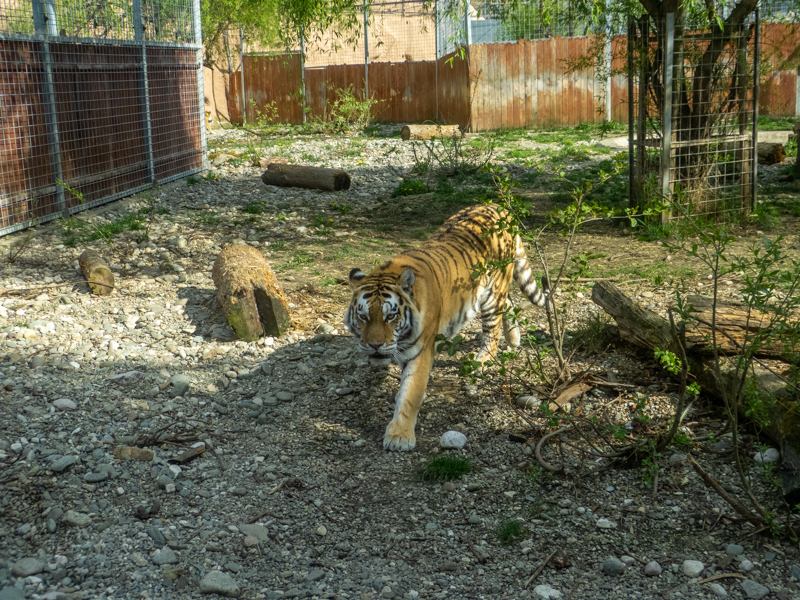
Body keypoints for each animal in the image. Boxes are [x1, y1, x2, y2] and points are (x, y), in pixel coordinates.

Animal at [344, 204, 548, 451]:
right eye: (363, 316)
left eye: (390, 316)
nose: (374, 345)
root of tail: (497, 206)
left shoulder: (420, 352)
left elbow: (410, 393)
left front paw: (400, 436)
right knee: (508, 303)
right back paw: (515, 338)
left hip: (492, 292)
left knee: (492, 332)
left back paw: (482, 361)